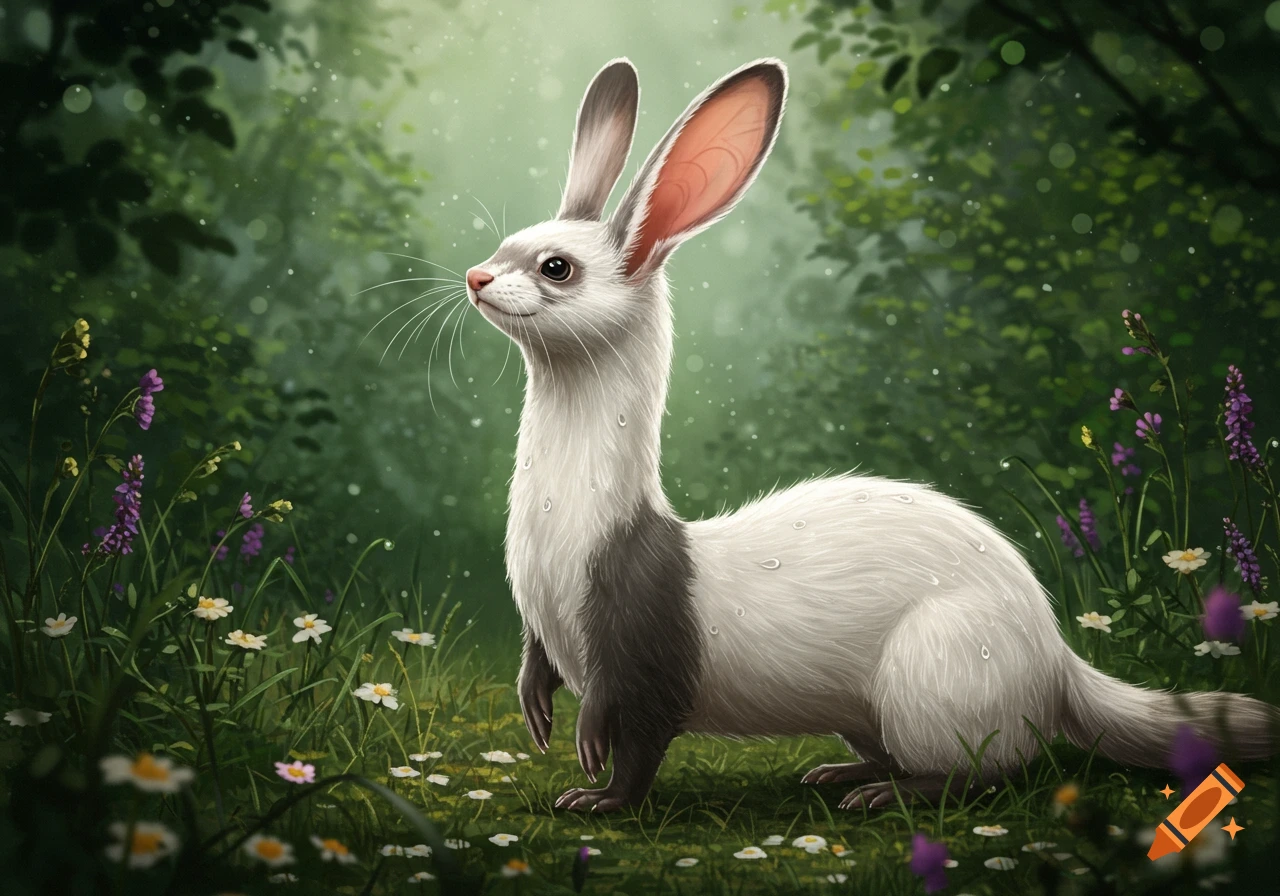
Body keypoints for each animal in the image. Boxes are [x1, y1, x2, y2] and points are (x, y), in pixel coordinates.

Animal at [463, 57, 1279, 813]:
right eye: (506, 244)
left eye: (556, 266)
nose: (475, 276)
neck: (556, 551)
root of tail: (1055, 658)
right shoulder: (542, 623)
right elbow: (542, 667)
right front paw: (537, 708)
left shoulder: (643, 639)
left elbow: (638, 738)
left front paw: (594, 793)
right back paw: (838, 771)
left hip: (936, 669)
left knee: (992, 766)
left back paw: (887, 792)